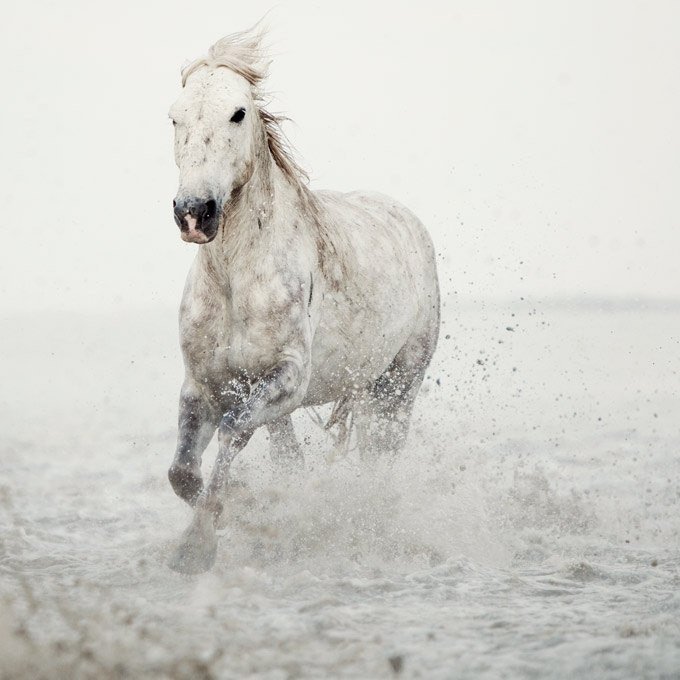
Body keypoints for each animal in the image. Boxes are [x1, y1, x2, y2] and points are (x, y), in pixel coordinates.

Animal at [167, 29, 438, 572]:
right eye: (175, 117)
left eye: (238, 113)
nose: (194, 213)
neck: (237, 282)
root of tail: (409, 220)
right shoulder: (202, 386)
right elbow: (182, 471)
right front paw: (229, 515)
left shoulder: (287, 379)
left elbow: (232, 432)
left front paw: (201, 542)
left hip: (398, 387)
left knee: (380, 460)